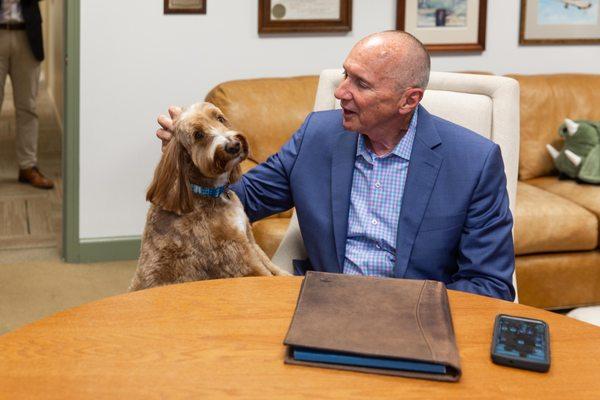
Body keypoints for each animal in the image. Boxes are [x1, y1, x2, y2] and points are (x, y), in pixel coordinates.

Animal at [127, 102, 290, 290]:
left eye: (220, 118)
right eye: (199, 135)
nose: (233, 145)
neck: (209, 192)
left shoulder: (249, 238)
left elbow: (270, 264)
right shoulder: (236, 254)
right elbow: (264, 273)